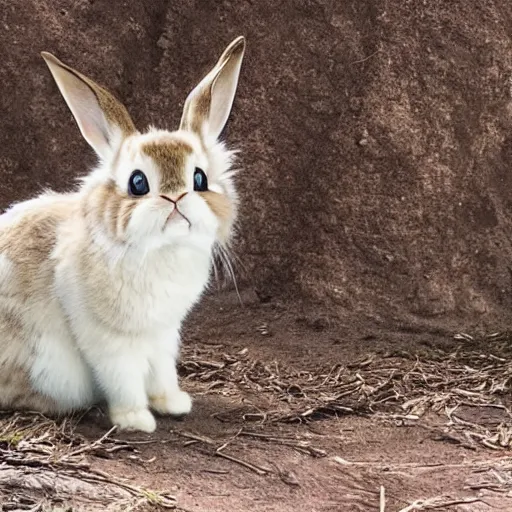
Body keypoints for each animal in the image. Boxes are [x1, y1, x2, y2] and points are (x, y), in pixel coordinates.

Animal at [0, 36, 246, 432]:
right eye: (138, 182)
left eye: (199, 179)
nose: (176, 198)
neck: (160, 250)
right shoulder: (109, 341)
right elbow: (123, 378)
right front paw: (136, 419)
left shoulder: (164, 334)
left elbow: (162, 371)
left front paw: (173, 403)